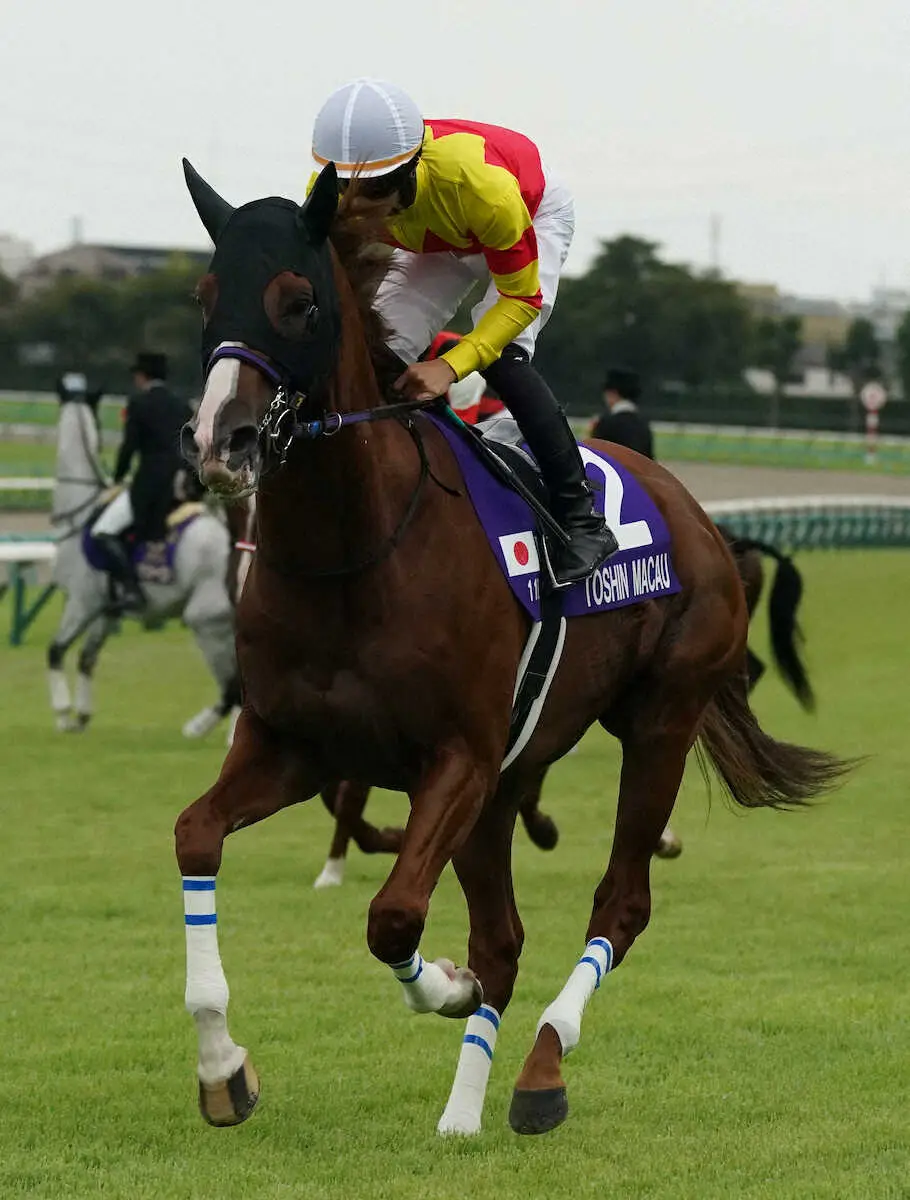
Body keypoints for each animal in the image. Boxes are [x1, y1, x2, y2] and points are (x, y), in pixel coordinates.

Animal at [46, 388, 240, 734]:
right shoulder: (105, 610)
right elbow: (86, 658)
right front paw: (81, 716)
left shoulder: (82, 603)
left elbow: (55, 651)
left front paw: (63, 713)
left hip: (205, 620)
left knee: (232, 689)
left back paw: (199, 727)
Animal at [180, 164, 854, 1137]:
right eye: (204, 299)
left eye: (298, 302)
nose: (218, 442)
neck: (358, 551)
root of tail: (698, 514)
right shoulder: (294, 745)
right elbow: (198, 836)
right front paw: (223, 1067)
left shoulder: (458, 756)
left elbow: (394, 917)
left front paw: (446, 986)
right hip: (506, 779)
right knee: (504, 936)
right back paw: (462, 1114)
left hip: (660, 718)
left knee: (621, 900)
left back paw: (541, 1070)